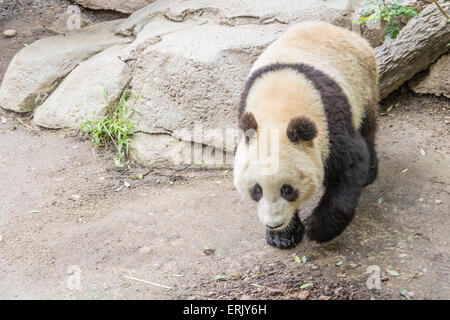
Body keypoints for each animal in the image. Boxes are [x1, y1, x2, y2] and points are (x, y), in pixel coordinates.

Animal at [234, 21, 378, 249]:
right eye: (256, 190)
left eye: (287, 189)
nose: (274, 223)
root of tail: (338, 29)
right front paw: (283, 236)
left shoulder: (331, 118)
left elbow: (350, 165)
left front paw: (319, 229)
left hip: (365, 84)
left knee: (368, 127)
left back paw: (371, 171)